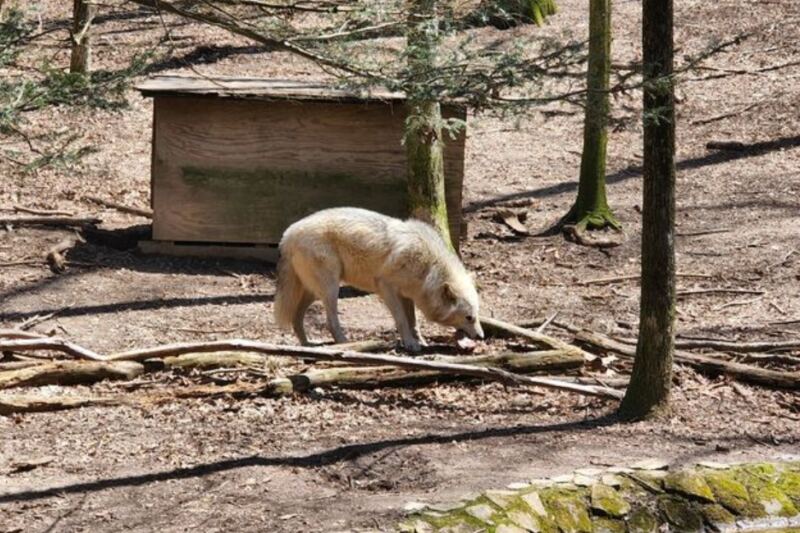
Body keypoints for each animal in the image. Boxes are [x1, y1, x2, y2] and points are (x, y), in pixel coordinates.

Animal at [273, 207, 484, 352]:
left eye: (476, 315)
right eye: (469, 317)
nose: (481, 336)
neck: (429, 266)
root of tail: (287, 235)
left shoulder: (407, 294)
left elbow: (413, 321)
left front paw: (419, 340)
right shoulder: (386, 287)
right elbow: (401, 319)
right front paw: (410, 344)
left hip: (314, 292)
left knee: (296, 317)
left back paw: (307, 344)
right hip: (331, 289)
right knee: (331, 321)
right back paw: (344, 344)